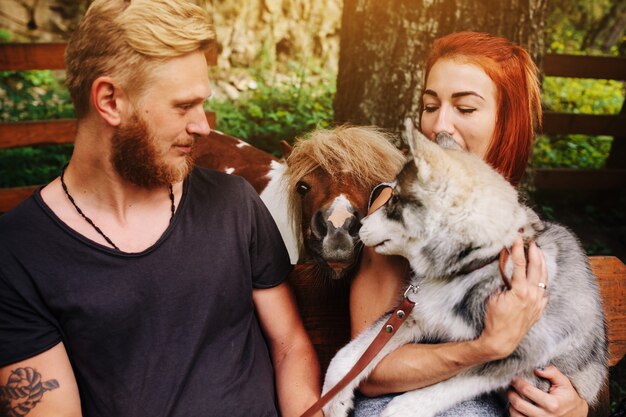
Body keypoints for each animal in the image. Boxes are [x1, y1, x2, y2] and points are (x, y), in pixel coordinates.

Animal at [322, 122, 604, 414]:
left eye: (395, 200)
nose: (356, 225)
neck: (479, 261)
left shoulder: (520, 356)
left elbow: (448, 387)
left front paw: (403, 408)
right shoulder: (413, 316)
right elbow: (346, 356)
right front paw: (333, 401)